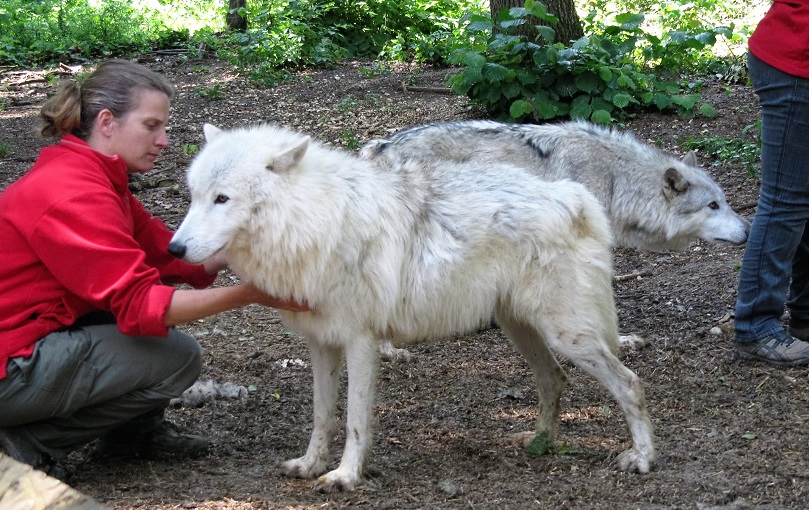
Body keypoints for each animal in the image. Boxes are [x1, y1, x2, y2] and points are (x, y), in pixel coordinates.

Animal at [169, 122, 656, 490]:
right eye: (194, 195)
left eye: (222, 199)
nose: (174, 249)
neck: (315, 219)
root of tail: (573, 196)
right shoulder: (321, 344)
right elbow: (322, 416)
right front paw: (310, 466)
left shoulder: (360, 342)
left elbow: (354, 420)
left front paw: (345, 476)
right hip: (521, 327)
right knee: (554, 379)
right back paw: (540, 443)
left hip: (568, 334)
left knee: (630, 383)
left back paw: (642, 458)